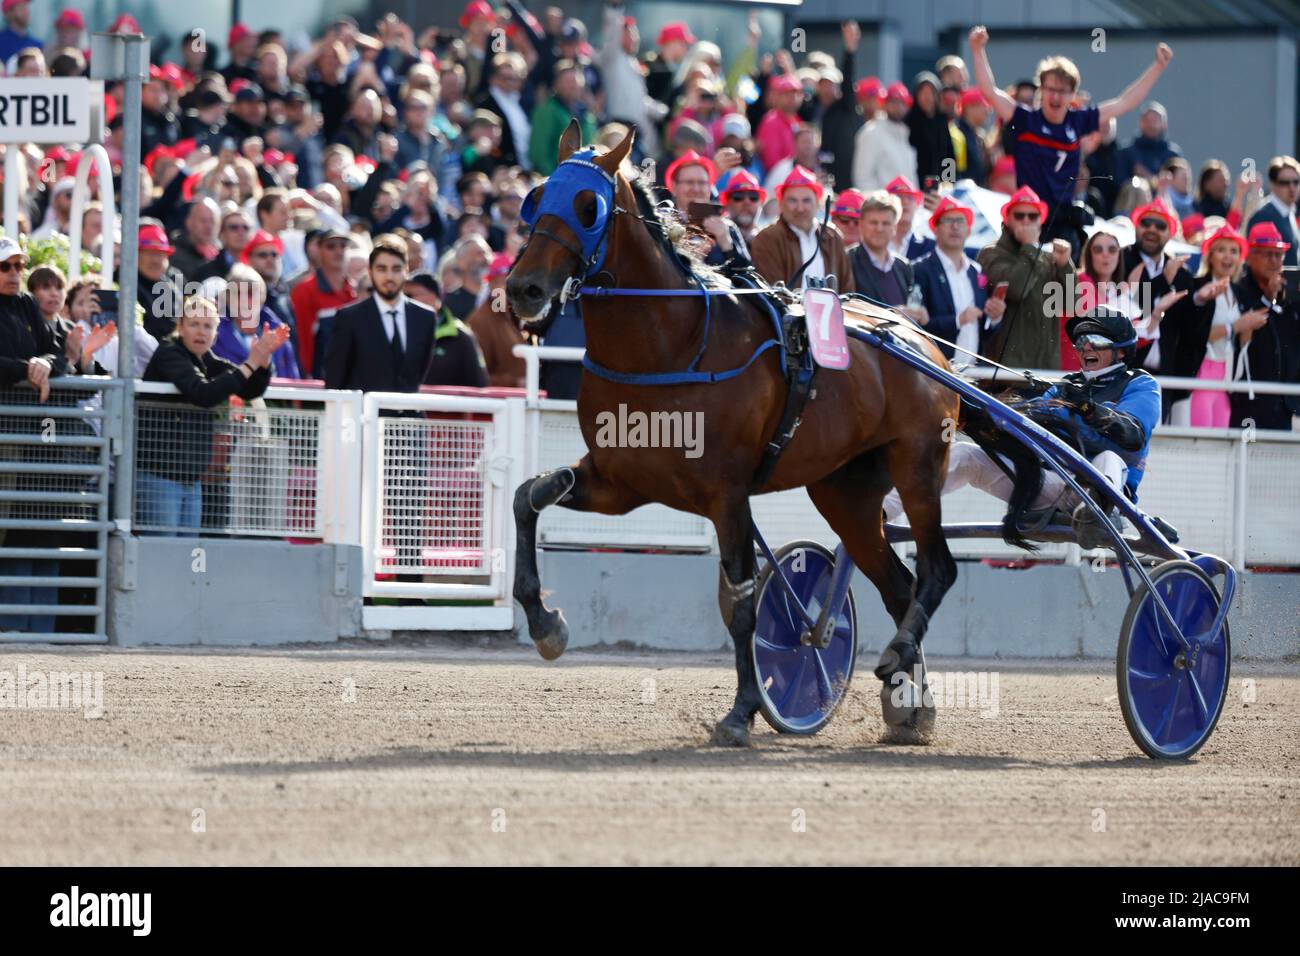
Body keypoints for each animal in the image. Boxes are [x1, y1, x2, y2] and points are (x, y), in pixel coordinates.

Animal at [501, 121, 1029, 749]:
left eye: (587, 206)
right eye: (536, 198)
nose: (524, 289)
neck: (674, 342)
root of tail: (926, 345)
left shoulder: (726, 495)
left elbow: (741, 603)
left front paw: (742, 710)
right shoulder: (620, 482)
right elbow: (528, 496)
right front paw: (544, 623)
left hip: (918, 466)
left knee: (937, 570)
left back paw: (899, 660)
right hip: (845, 492)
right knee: (899, 584)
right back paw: (909, 701)